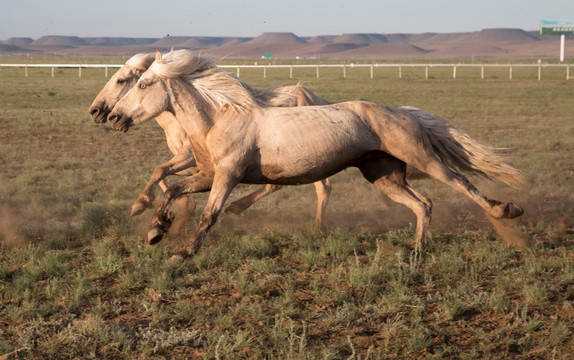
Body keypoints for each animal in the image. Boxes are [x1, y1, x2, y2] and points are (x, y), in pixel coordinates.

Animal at [108, 49, 532, 260]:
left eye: (141, 83)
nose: (111, 116)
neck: (218, 120)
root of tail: (402, 112)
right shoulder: (209, 174)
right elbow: (173, 188)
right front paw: (155, 229)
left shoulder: (226, 177)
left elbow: (209, 214)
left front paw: (183, 252)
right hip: (383, 175)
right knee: (422, 203)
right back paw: (417, 248)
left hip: (421, 158)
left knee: (460, 183)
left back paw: (506, 212)